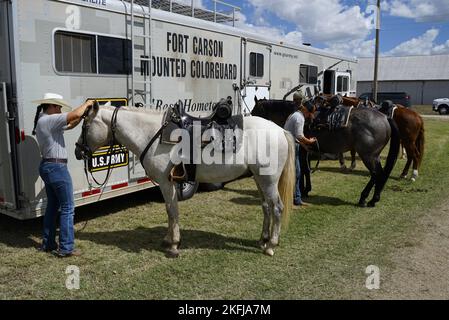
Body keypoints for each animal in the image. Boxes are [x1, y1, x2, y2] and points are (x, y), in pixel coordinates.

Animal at [74, 105, 294, 258]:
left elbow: (172, 210)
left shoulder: (166, 182)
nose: (77, 150)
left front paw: (173, 245)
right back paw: (263, 240)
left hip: (268, 180)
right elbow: (171, 212)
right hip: (259, 178)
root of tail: (280, 130)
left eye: (86, 126)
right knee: (266, 206)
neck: (153, 134)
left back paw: (271, 246)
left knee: (277, 208)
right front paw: (168, 240)